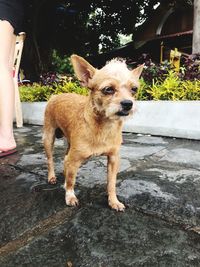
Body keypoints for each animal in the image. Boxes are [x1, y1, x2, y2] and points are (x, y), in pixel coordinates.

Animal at [43, 55, 143, 213]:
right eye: (108, 89)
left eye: (134, 89)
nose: (128, 103)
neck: (104, 127)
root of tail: (55, 95)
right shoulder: (74, 160)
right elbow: (71, 180)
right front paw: (70, 196)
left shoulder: (113, 159)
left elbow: (111, 183)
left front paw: (113, 201)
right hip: (48, 138)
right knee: (50, 160)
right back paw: (52, 176)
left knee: (64, 159)